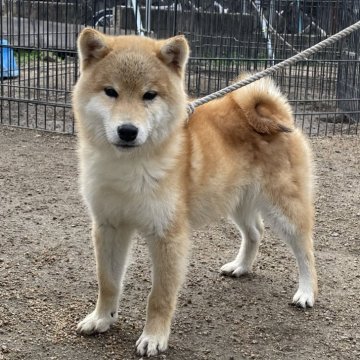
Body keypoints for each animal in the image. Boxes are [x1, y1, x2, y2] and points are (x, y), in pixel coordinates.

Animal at [73, 28, 318, 358]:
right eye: (110, 92)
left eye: (149, 95)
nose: (127, 131)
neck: (129, 167)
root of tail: (278, 113)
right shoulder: (109, 226)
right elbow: (108, 282)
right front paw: (101, 319)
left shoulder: (168, 236)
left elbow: (159, 296)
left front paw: (154, 337)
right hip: (236, 202)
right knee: (255, 232)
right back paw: (241, 267)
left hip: (284, 208)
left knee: (305, 249)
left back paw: (306, 292)